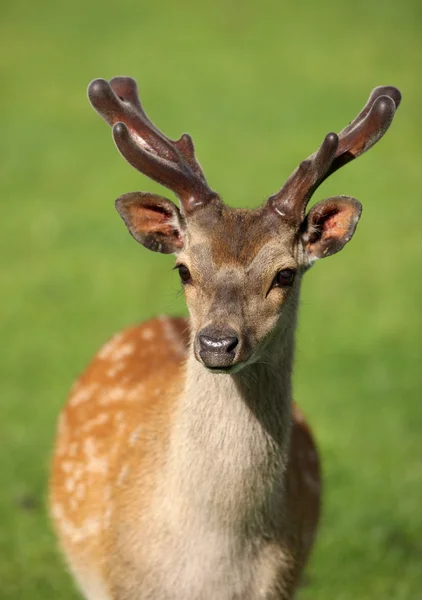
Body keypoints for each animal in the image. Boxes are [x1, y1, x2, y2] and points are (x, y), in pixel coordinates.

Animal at [48, 79, 398, 600]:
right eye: (184, 269)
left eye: (285, 273)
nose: (216, 344)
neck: (215, 566)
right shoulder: (123, 583)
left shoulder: (281, 582)